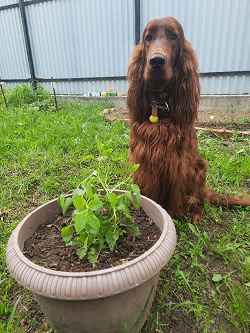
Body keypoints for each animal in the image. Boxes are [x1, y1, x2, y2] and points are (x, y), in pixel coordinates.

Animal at [128, 16, 249, 223]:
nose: (157, 61)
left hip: (199, 170)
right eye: (148, 37)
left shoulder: (178, 165)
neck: (159, 107)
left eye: (174, 37)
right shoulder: (143, 158)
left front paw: (171, 216)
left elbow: (174, 198)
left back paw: (195, 215)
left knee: (199, 199)